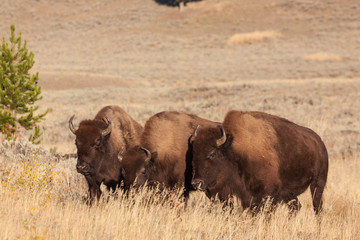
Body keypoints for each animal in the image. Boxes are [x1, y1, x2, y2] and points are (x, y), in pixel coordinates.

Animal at [188, 110, 330, 214]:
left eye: (212, 153)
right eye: (194, 153)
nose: (196, 183)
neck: (234, 150)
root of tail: (320, 143)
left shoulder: (269, 194)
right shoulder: (248, 198)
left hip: (318, 183)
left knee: (317, 208)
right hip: (289, 192)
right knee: (296, 207)